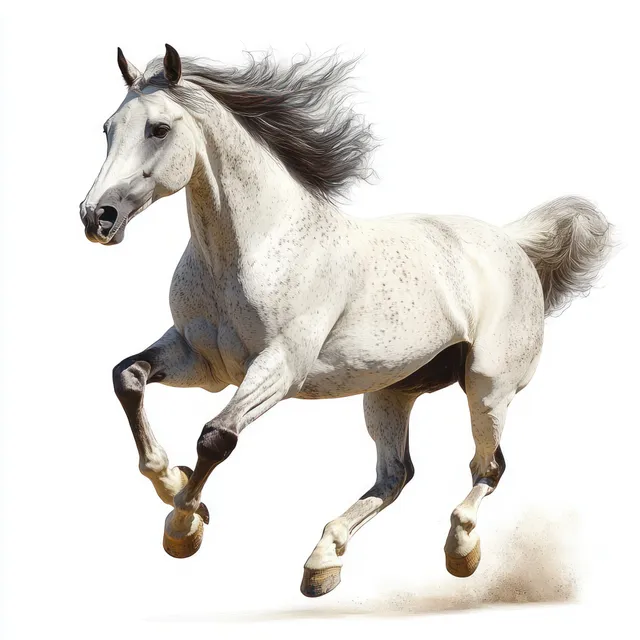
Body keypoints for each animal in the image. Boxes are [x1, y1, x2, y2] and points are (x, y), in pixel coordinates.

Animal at [79, 44, 614, 598]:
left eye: (159, 128)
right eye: (108, 128)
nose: (97, 217)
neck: (251, 246)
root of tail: (511, 241)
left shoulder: (280, 368)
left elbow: (216, 437)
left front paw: (183, 526)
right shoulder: (200, 360)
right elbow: (128, 377)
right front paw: (172, 479)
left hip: (488, 386)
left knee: (488, 465)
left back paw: (460, 548)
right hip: (389, 392)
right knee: (396, 475)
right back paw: (323, 559)